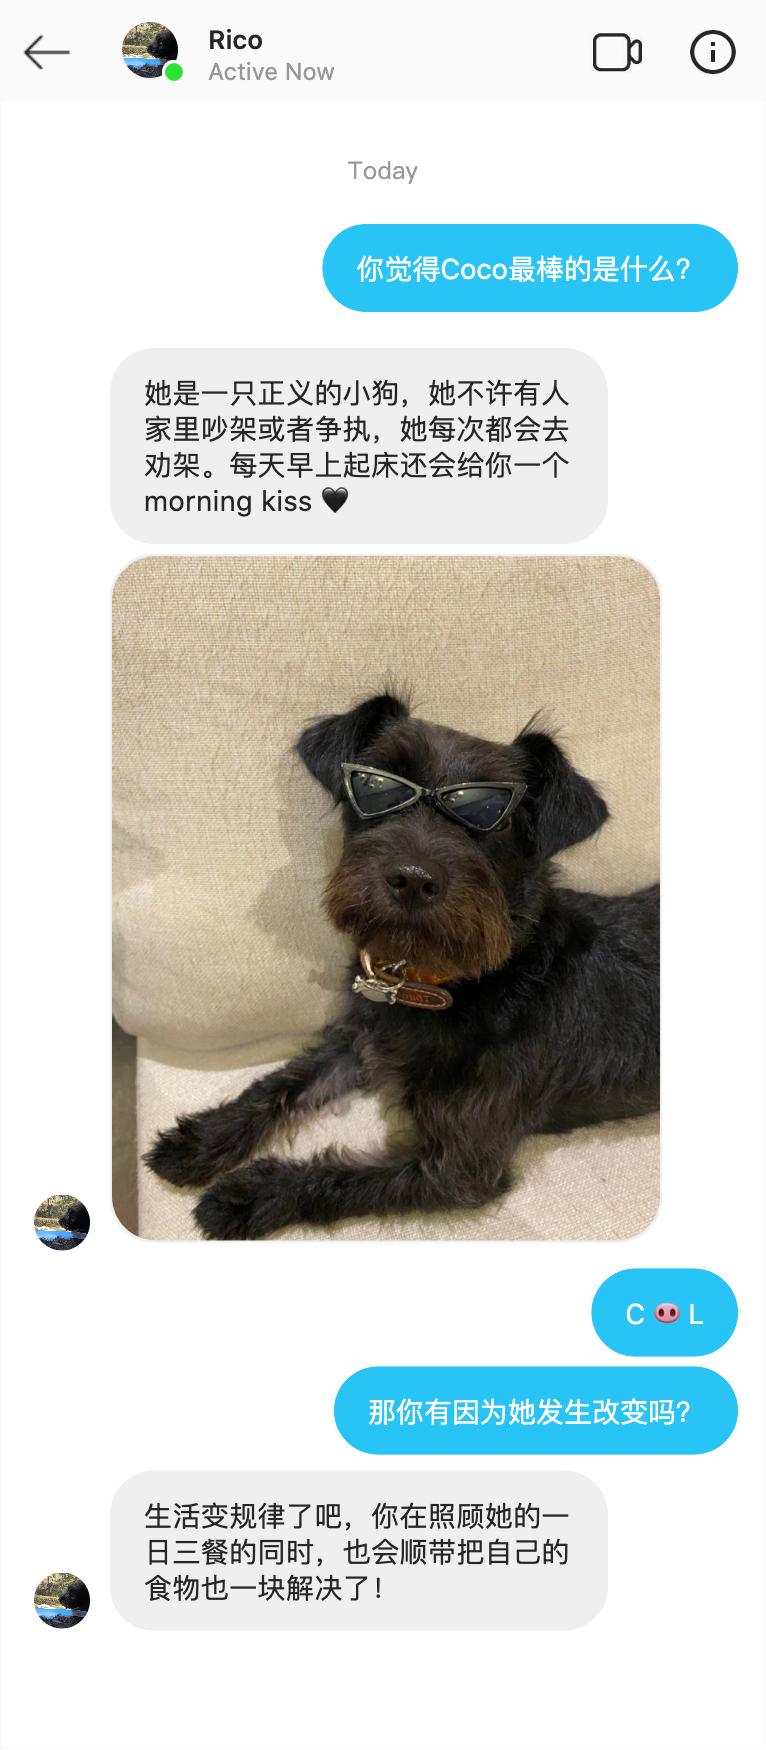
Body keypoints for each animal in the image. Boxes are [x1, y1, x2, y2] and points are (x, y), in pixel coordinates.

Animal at [146, 691, 659, 1238]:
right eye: (377, 786)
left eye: (494, 815)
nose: (413, 878)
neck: (442, 983)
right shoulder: (360, 1036)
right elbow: (283, 1082)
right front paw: (201, 1139)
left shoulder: (458, 1167)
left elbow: (339, 1179)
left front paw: (243, 1196)